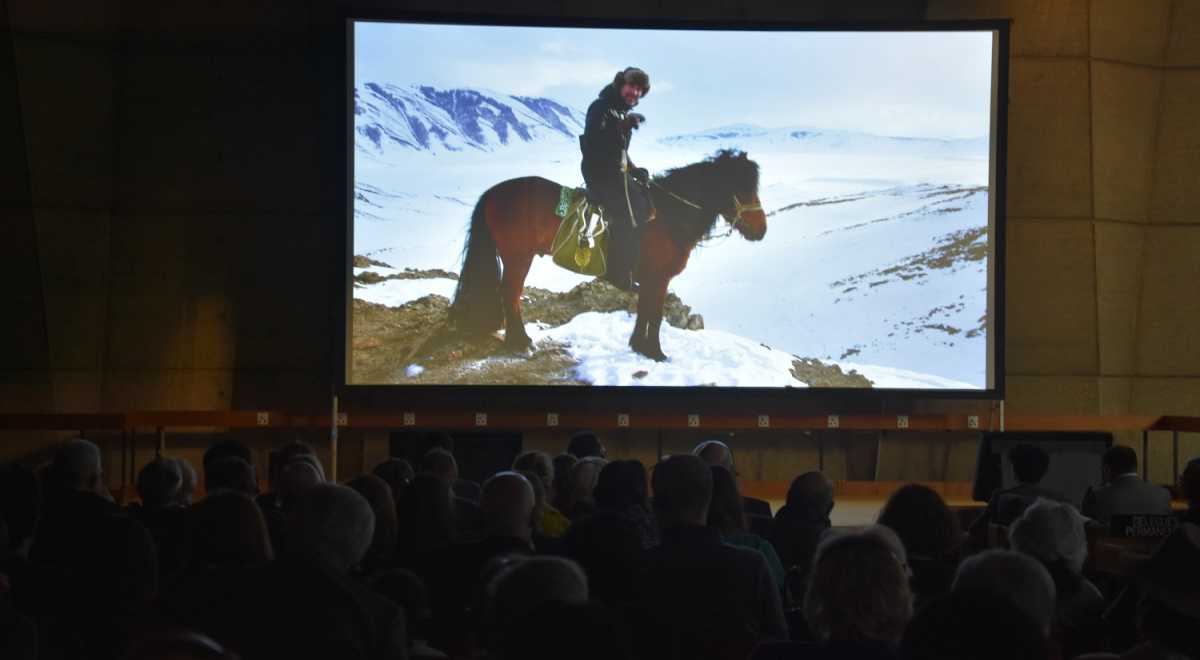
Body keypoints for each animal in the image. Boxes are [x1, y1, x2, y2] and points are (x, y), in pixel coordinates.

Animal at [446, 149, 763, 362]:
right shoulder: (658, 278)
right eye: (741, 187)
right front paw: (656, 352)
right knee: (510, 294)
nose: (761, 229)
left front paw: (638, 346)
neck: (669, 215)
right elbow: (655, 314)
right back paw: (521, 342)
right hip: (518, 257)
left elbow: (644, 311)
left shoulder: (650, 280)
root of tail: (493, 193)